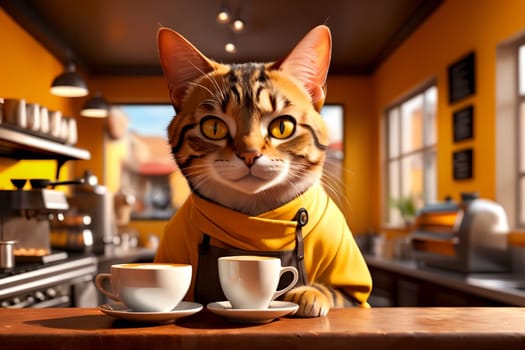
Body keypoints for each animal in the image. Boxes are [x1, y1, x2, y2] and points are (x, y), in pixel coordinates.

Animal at [154, 24, 370, 318]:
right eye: (213, 127)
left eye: (282, 127)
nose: (249, 154)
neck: (258, 221)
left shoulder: (355, 291)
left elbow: (339, 294)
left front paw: (309, 294)